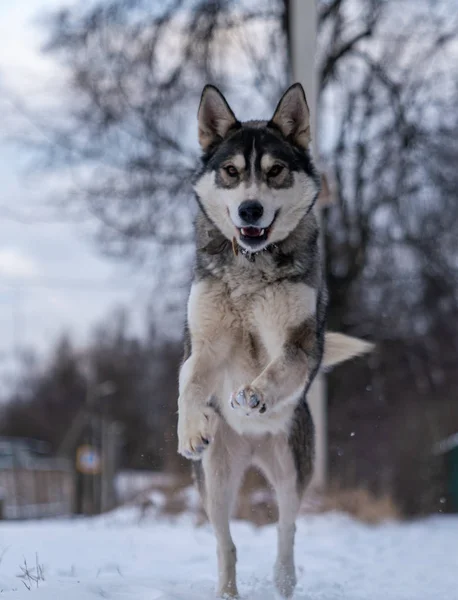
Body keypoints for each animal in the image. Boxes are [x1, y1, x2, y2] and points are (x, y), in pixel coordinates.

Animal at [177, 82, 370, 596]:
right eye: (231, 172)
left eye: (275, 171)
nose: (251, 209)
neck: (251, 264)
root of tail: (252, 449)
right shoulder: (205, 344)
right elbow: (190, 383)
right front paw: (190, 428)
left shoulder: (298, 341)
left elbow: (280, 366)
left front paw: (255, 394)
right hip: (216, 479)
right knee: (226, 542)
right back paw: (226, 590)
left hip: (290, 467)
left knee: (287, 526)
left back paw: (284, 577)